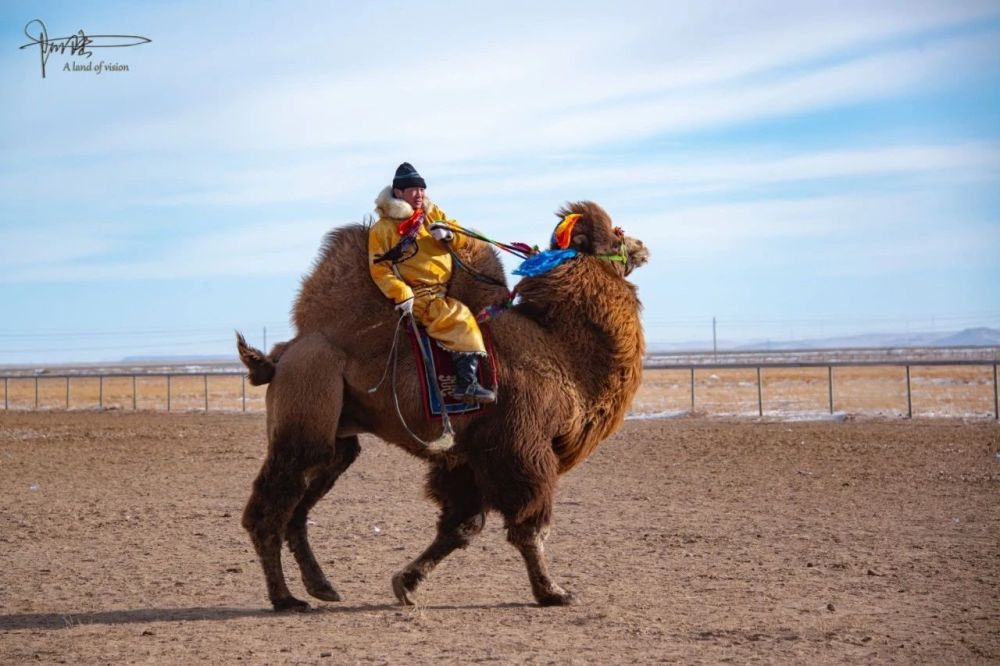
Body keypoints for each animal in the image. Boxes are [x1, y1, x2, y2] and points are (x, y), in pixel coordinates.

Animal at [238, 200, 652, 608]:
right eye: (613, 234)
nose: (643, 246)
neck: (560, 349)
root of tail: (280, 357)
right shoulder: (520, 447)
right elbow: (529, 526)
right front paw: (552, 592)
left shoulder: (468, 458)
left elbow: (461, 527)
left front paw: (406, 583)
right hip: (306, 412)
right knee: (268, 510)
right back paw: (285, 598)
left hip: (337, 439)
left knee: (299, 508)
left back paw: (320, 586)